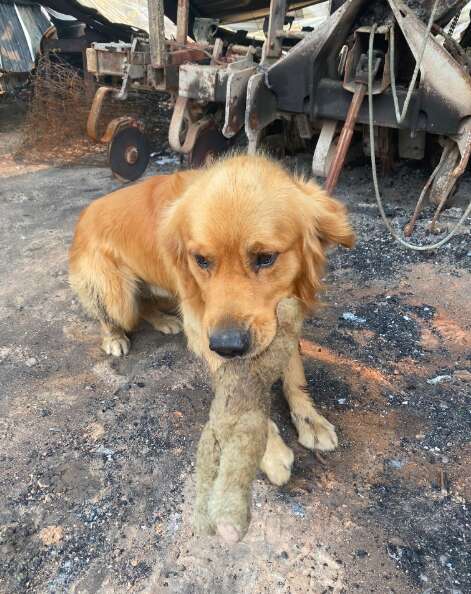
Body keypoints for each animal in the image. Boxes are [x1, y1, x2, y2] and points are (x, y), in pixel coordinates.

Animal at [70, 154, 354, 486]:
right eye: (202, 261)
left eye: (266, 257)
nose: (227, 345)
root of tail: (85, 213)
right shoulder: (203, 326)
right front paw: (268, 451)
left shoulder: (283, 311)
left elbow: (294, 373)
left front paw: (309, 418)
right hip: (118, 295)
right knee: (117, 312)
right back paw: (114, 337)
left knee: (148, 303)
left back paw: (164, 321)